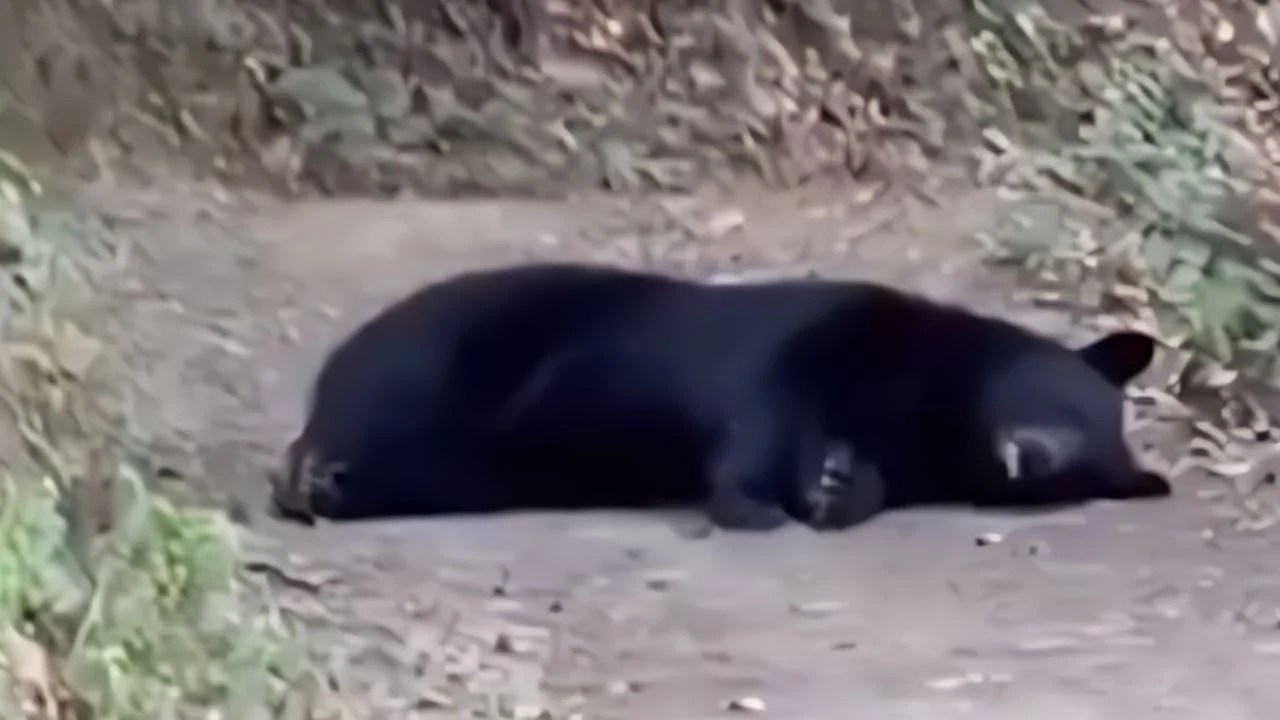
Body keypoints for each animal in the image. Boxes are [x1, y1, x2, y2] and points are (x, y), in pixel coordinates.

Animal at [268, 262, 1170, 530]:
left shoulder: (908, 449)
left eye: (1086, 465)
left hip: (468, 469)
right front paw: (754, 501)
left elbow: (868, 474)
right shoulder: (831, 332)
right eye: (1068, 398)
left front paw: (835, 486)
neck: (931, 406)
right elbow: (762, 405)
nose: (1031, 456)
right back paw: (314, 473)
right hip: (443, 353)